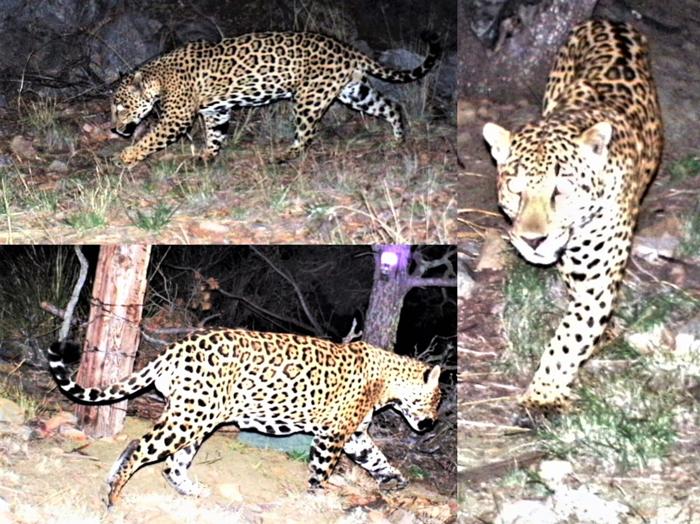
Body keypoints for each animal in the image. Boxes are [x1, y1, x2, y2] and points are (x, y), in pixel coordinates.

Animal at [48, 328, 441, 506]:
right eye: (436, 399)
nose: (430, 424)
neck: (390, 381)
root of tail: (175, 348)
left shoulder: (355, 433)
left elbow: (376, 457)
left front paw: (395, 478)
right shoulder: (333, 434)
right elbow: (323, 468)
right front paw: (317, 494)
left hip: (196, 417)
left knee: (170, 464)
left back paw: (192, 491)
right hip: (191, 416)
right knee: (141, 446)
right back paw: (114, 494)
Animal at [111, 31, 441, 166]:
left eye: (121, 107)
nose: (114, 128)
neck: (158, 77)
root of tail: (347, 49)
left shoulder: (176, 119)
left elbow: (150, 139)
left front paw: (125, 157)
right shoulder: (217, 111)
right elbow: (215, 136)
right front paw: (207, 157)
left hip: (309, 98)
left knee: (307, 136)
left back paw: (283, 156)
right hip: (353, 92)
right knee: (391, 105)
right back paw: (398, 140)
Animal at [482, 19, 663, 408]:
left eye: (560, 190)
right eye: (516, 189)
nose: (533, 240)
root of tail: (608, 20)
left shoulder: (597, 277)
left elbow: (570, 335)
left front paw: (543, 393)